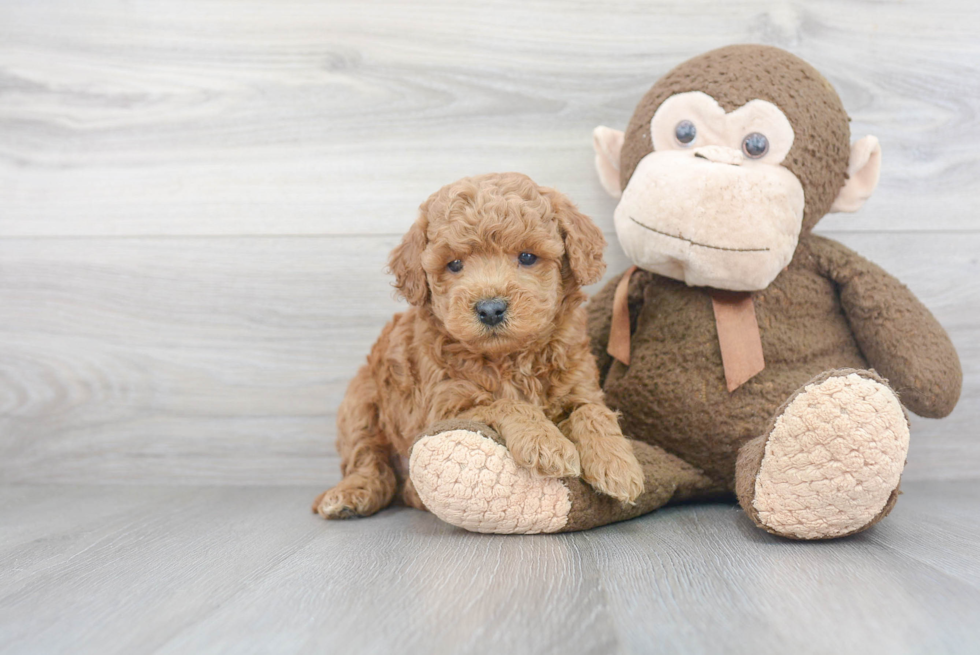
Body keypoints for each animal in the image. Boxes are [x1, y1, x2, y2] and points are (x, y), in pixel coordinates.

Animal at [310, 172, 640, 520]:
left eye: (527, 257)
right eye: (454, 264)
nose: (490, 309)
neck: (509, 358)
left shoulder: (579, 383)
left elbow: (592, 411)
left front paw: (617, 465)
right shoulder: (446, 407)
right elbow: (505, 404)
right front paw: (544, 442)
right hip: (360, 401)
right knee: (367, 459)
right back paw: (350, 495)